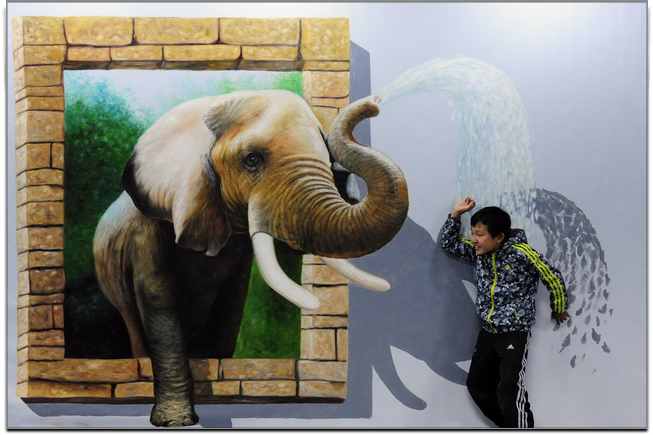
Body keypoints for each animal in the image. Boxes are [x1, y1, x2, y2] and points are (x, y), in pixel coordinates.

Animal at [92, 90, 409, 426]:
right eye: (252, 160)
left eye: (328, 161)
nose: (373, 104)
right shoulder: (146, 230)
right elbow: (159, 303)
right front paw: (175, 422)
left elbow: (230, 307)